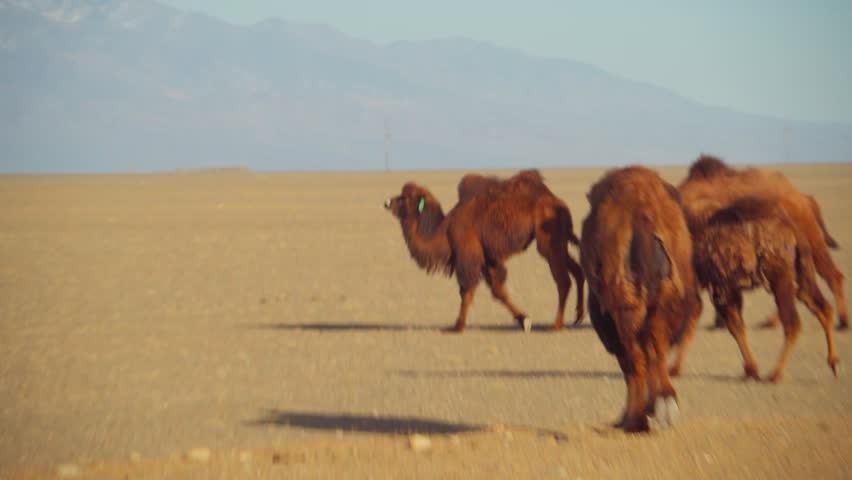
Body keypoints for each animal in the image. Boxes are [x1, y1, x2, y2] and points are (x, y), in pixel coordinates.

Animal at [384, 169, 584, 332]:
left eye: (403, 197)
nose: (387, 202)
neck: (445, 230)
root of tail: (559, 203)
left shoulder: (468, 255)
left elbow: (466, 291)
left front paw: (457, 327)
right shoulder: (488, 258)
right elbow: (498, 291)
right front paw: (524, 320)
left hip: (549, 242)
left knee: (563, 281)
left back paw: (556, 325)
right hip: (559, 241)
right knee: (577, 270)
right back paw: (578, 317)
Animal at [580, 166, 702, 432]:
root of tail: (642, 212)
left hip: (625, 309)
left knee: (636, 358)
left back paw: (635, 419)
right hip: (660, 303)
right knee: (653, 350)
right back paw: (658, 407)